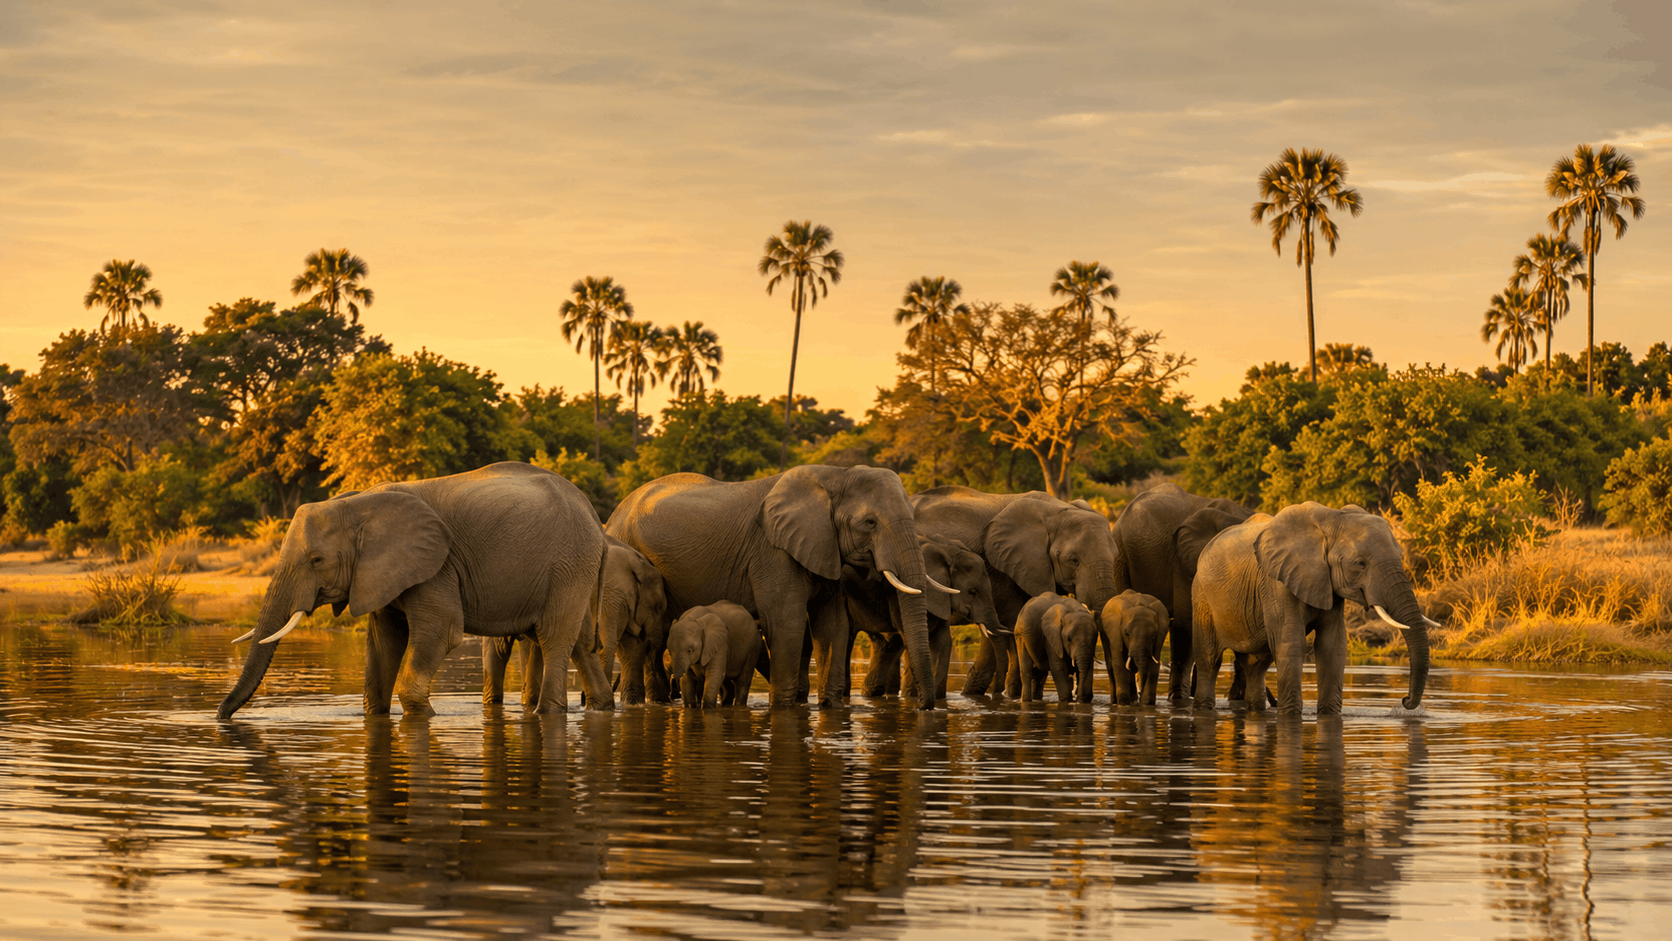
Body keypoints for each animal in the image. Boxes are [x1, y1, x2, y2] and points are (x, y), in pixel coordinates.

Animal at [218, 462, 613, 719]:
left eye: (317, 560)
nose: (221, 715)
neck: (358, 503)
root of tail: (594, 516)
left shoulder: (437, 566)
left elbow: (441, 632)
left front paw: (423, 714)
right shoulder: (379, 573)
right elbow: (384, 641)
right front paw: (375, 714)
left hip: (569, 562)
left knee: (553, 636)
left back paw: (548, 713)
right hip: (573, 567)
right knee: (578, 641)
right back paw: (601, 706)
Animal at [606, 465, 957, 709]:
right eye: (869, 523)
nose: (923, 707)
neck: (836, 476)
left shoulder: (824, 548)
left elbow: (833, 626)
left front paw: (829, 707)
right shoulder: (772, 553)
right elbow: (788, 622)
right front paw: (785, 708)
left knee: (655, 641)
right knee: (644, 641)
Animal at [841, 532, 1005, 702]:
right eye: (972, 592)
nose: (996, 694)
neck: (948, 551)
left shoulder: (941, 599)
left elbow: (943, 641)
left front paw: (936, 700)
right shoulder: (897, 594)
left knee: (884, 644)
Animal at [908, 487, 1121, 699]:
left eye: (1115, 556)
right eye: (1073, 560)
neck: (1057, 511)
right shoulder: (1004, 568)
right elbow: (1011, 621)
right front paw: (1012, 696)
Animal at [1191, 502, 1436, 715]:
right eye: (1360, 564)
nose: (1404, 701)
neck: (1332, 519)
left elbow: (1332, 645)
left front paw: (1328, 715)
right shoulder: (1276, 583)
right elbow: (1291, 643)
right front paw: (1290, 716)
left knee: (1256, 666)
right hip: (1202, 599)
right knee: (1210, 660)